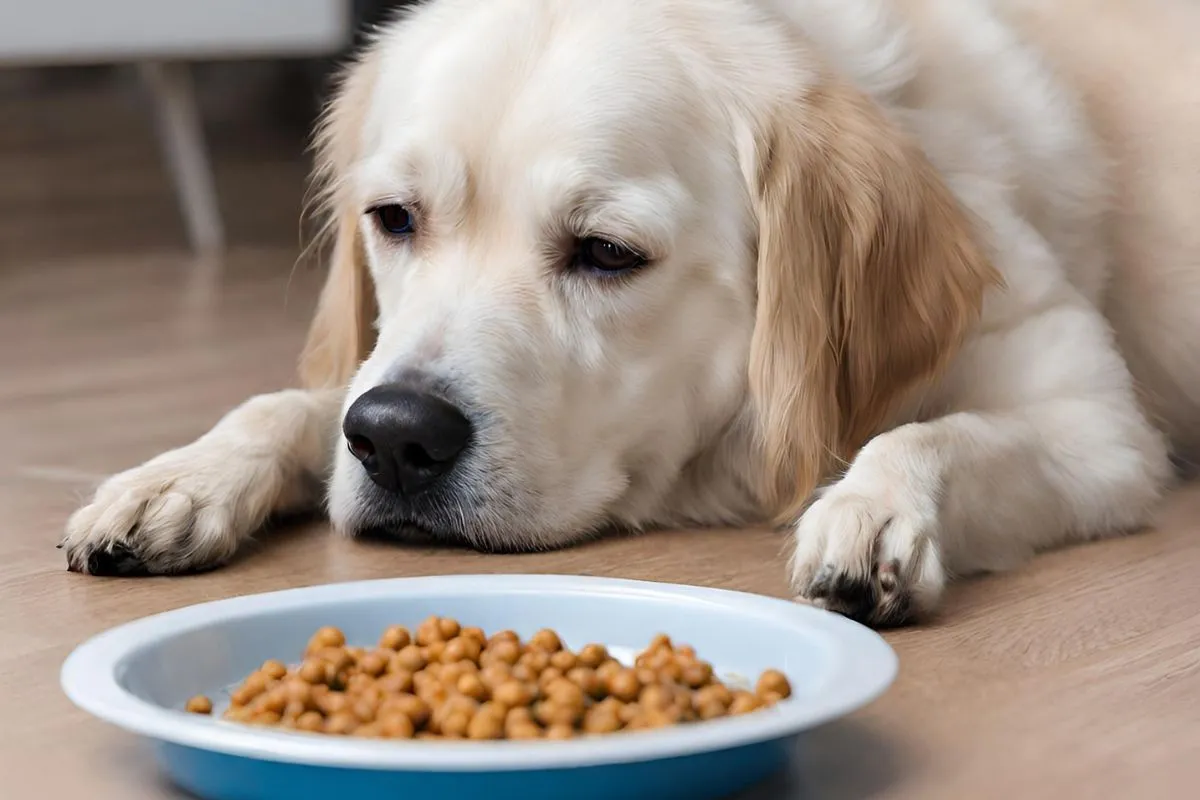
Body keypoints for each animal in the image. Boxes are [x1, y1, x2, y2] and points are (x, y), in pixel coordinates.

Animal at [63, 0, 1200, 623]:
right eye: (393, 218)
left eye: (607, 254)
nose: (395, 439)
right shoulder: (367, 370)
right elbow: (297, 401)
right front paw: (183, 475)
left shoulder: (1097, 422)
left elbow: (934, 435)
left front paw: (875, 512)